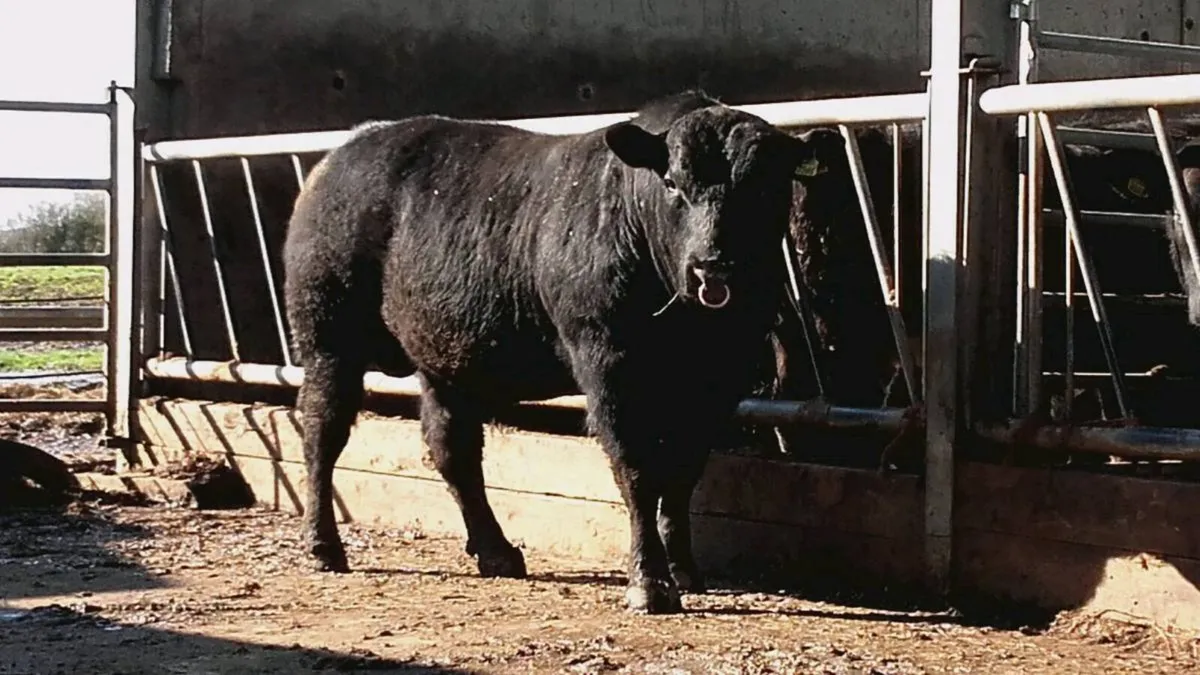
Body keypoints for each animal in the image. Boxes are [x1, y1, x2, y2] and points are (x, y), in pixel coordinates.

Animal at [282, 90, 844, 614]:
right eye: (671, 183)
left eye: (765, 186)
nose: (713, 266)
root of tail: (347, 149)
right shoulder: (609, 363)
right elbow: (637, 470)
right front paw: (650, 583)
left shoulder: (719, 381)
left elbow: (683, 473)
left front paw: (684, 569)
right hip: (327, 336)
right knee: (323, 430)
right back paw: (323, 545)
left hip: (445, 361)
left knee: (452, 448)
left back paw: (497, 552)